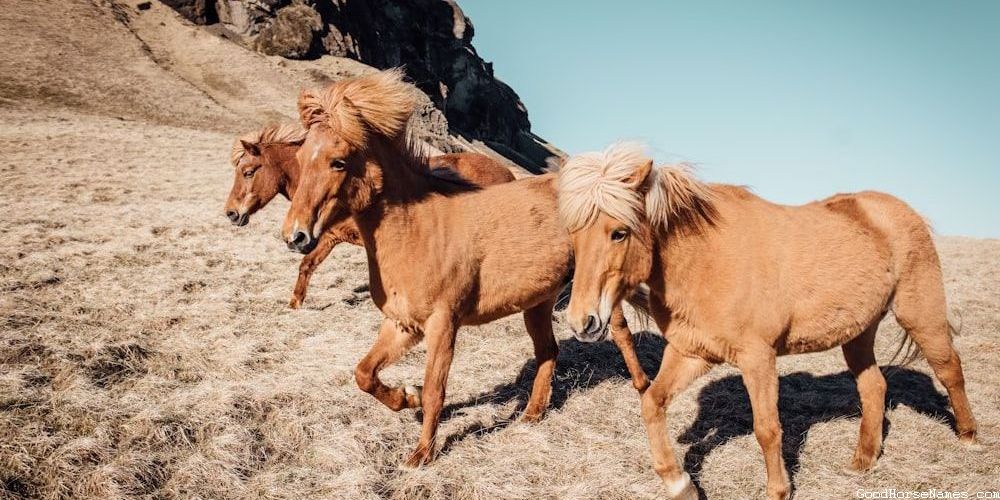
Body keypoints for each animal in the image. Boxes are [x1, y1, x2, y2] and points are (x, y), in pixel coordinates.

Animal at [223, 123, 516, 308]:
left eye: (248, 172)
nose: (231, 213)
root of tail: (507, 174)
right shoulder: (329, 237)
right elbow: (307, 265)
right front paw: (294, 304)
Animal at [278, 69, 650, 468]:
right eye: (300, 156)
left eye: (338, 162)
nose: (295, 236)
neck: (418, 229)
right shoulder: (402, 324)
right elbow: (364, 374)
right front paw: (405, 397)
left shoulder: (443, 325)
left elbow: (435, 390)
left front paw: (421, 454)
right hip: (538, 303)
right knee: (548, 351)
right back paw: (532, 415)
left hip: (593, 293)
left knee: (621, 333)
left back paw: (643, 387)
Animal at [556, 143, 977, 500]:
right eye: (573, 236)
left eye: (619, 232)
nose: (582, 322)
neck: (706, 259)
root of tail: (901, 210)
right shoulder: (692, 352)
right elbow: (651, 403)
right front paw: (680, 484)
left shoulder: (758, 358)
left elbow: (767, 429)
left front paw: (778, 490)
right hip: (858, 332)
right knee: (874, 386)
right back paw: (863, 461)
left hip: (919, 313)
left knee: (949, 368)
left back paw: (969, 437)